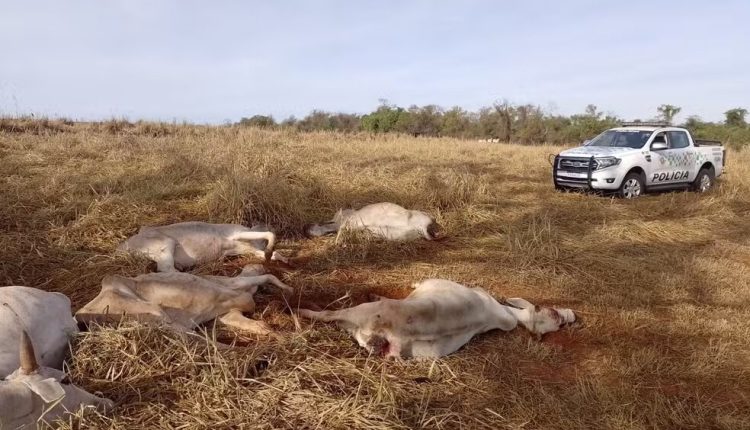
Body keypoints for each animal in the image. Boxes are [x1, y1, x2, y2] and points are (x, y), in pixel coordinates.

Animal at [119, 222, 286, 272]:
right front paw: (270, 252)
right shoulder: (237, 234)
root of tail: (123, 245)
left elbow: (270, 253)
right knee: (166, 269)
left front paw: (278, 258)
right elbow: (270, 235)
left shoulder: (244, 247)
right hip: (166, 243)